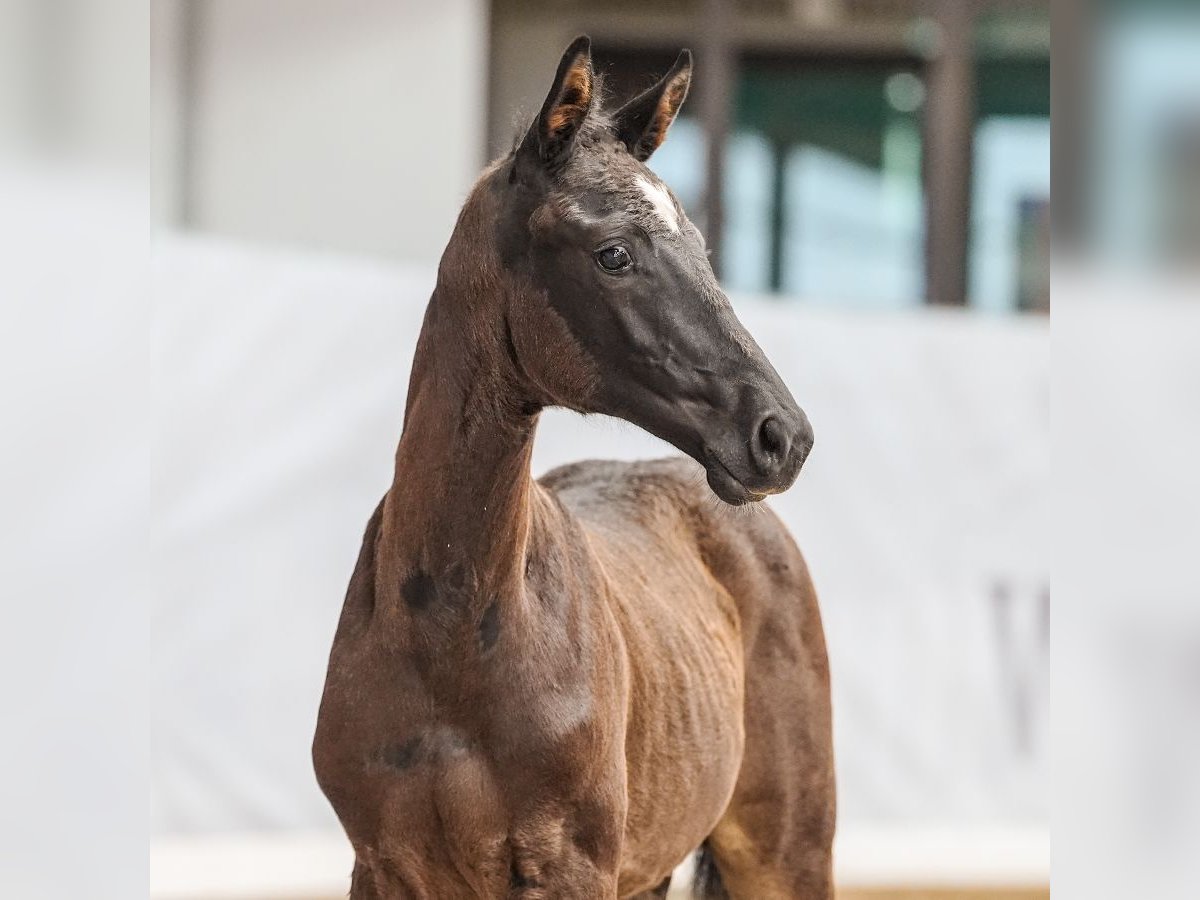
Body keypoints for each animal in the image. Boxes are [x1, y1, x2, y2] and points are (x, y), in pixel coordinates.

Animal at [309, 38, 835, 897]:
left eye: (700, 248)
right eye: (613, 253)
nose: (780, 435)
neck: (448, 639)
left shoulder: (569, 865)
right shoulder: (381, 867)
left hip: (787, 851)